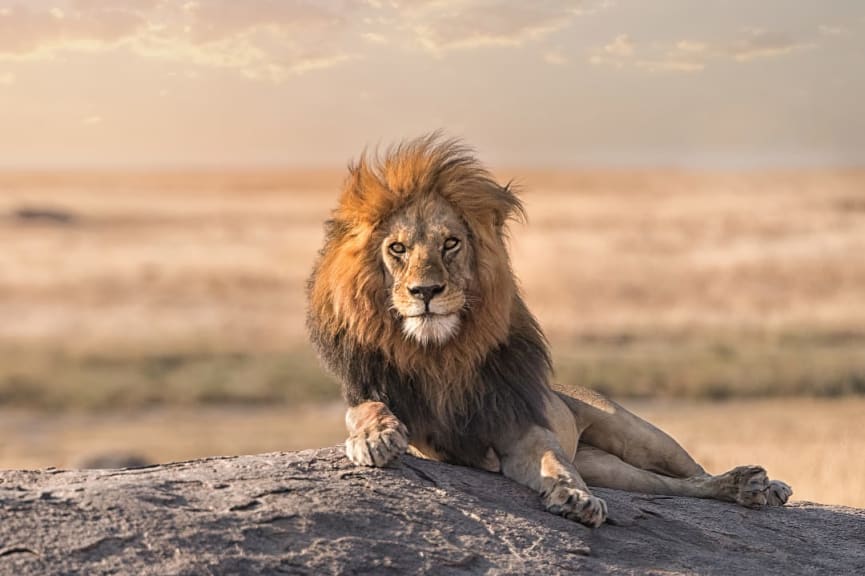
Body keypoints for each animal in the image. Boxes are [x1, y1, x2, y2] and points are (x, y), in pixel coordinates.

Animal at [304, 135, 788, 528]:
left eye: (451, 243)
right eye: (398, 249)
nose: (425, 291)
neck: (440, 352)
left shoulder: (519, 425)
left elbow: (554, 461)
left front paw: (575, 498)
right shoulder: (399, 414)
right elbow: (366, 410)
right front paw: (376, 437)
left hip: (637, 434)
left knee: (692, 475)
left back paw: (758, 486)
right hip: (610, 468)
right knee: (667, 487)